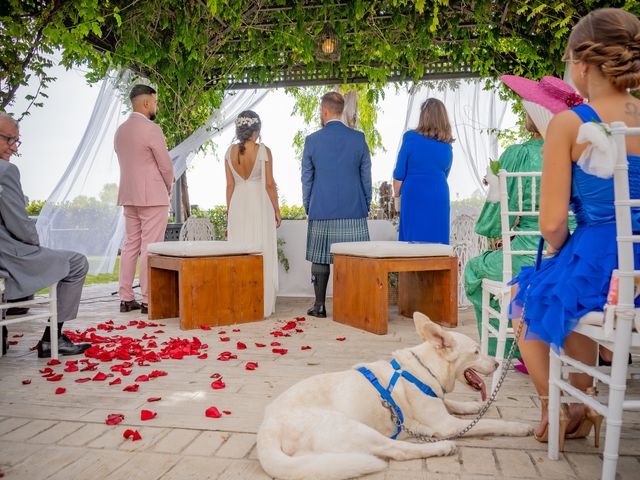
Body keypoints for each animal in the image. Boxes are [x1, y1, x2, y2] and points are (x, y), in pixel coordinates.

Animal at [258, 314, 532, 478]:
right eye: (476, 351)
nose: (497, 363)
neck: (426, 367)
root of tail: (268, 428)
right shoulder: (447, 424)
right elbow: (492, 422)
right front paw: (518, 427)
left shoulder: (442, 406)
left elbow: (456, 403)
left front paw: (476, 406)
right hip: (354, 428)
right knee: (397, 449)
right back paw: (441, 447)